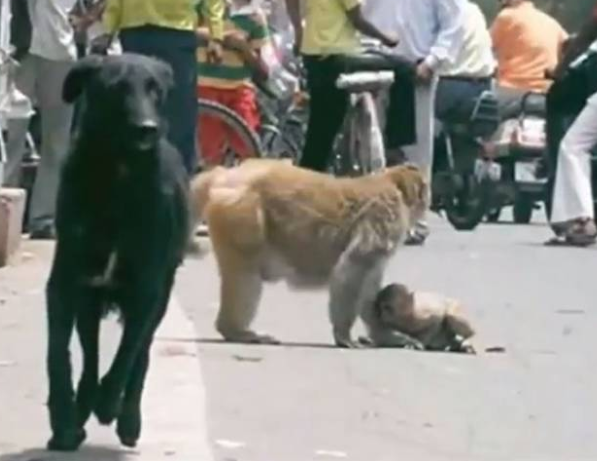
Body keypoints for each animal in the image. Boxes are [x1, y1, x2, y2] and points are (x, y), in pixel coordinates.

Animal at [46, 53, 189, 450]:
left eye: (155, 89)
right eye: (116, 88)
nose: (147, 129)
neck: (118, 177)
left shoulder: (147, 290)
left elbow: (128, 354)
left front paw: (110, 402)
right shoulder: (66, 283)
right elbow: (59, 355)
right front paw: (64, 422)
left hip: (161, 295)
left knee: (140, 355)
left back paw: (126, 417)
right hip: (90, 300)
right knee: (91, 352)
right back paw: (83, 406)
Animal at [191, 156, 428, 346]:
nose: (427, 200)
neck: (394, 186)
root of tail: (225, 174)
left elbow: (368, 285)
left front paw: (387, 336)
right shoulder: (384, 220)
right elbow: (352, 269)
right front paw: (344, 336)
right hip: (243, 214)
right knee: (246, 276)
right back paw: (236, 331)